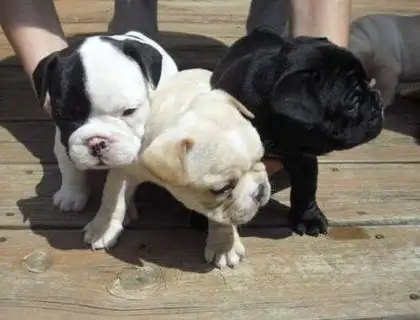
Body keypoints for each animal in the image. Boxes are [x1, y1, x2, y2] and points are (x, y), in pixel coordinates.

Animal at [31, 30, 179, 212]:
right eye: (64, 116)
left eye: (129, 111)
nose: (96, 142)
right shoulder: (63, 141)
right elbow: (69, 167)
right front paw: (71, 195)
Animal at [83, 69, 270, 268]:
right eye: (223, 188)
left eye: (261, 158)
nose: (260, 191)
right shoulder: (124, 167)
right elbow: (112, 197)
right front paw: (102, 227)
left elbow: (223, 218)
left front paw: (224, 246)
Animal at [207, 27, 384, 236]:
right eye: (353, 103)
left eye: (369, 84)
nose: (378, 101)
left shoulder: (303, 157)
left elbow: (306, 189)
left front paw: (308, 219)